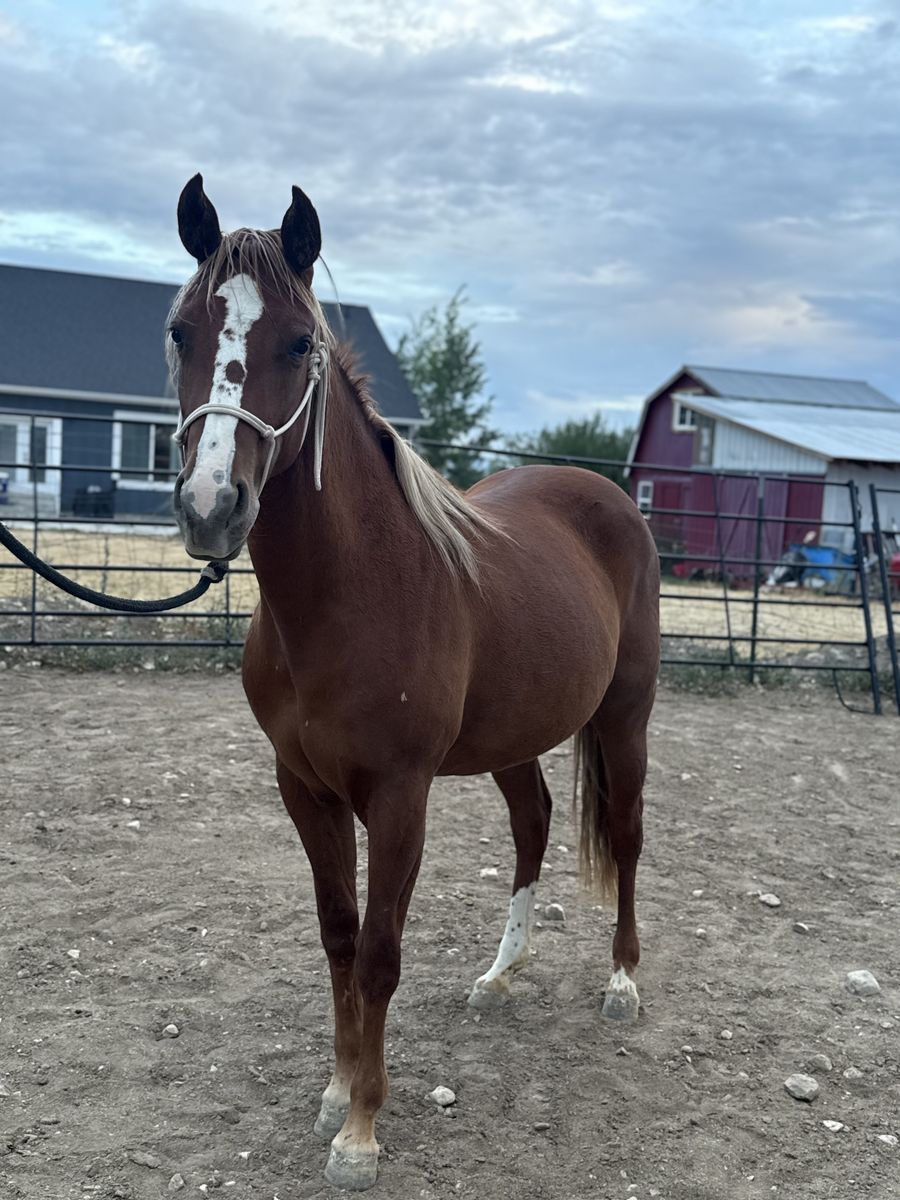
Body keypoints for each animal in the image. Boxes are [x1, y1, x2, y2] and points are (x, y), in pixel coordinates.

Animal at [168, 174, 660, 1191]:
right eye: (180, 332)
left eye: (299, 342)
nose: (211, 508)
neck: (352, 591)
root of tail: (610, 500)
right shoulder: (304, 789)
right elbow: (339, 937)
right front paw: (334, 1092)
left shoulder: (399, 796)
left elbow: (382, 953)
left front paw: (362, 1128)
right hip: (517, 737)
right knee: (534, 823)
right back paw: (500, 975)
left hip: (625, 718)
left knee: (627, 836)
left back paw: (623, 982)